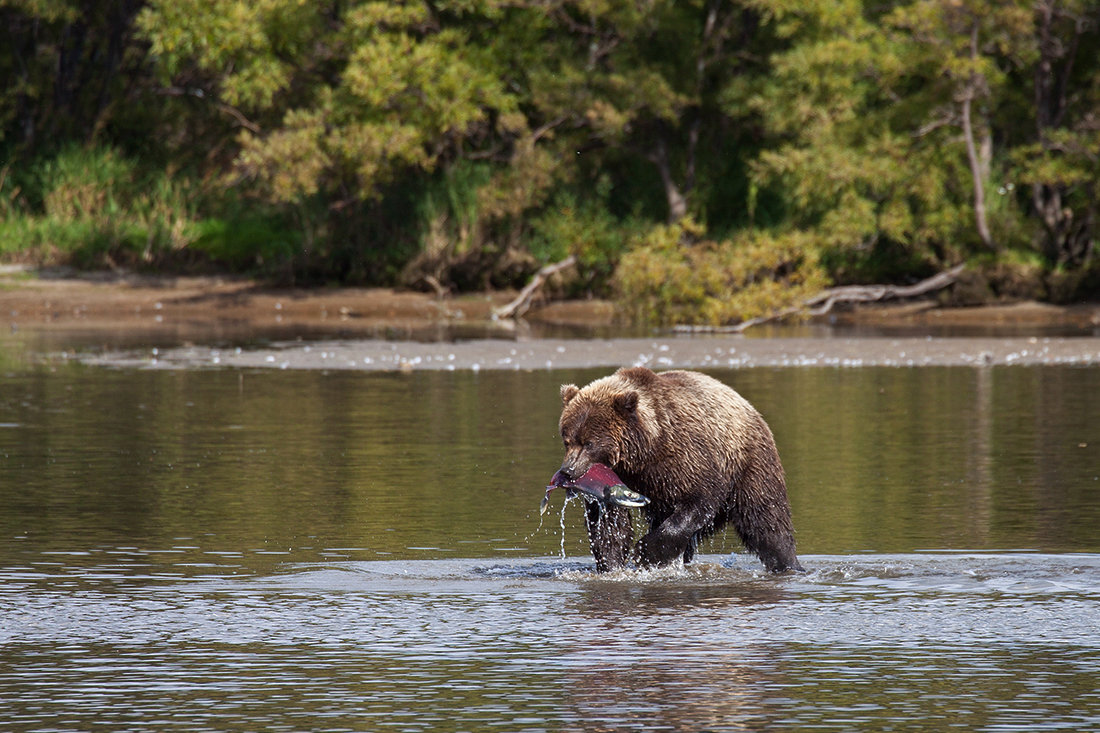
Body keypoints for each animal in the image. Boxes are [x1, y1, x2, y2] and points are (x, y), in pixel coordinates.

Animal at [558, 365, 800, 572]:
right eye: (567, 440)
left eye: (589, 443)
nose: (567, 471)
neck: (642, 454)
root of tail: (751, 409)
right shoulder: (614, 483)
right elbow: (610, 524)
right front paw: (611, 564)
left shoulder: (686, 457)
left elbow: (699, 500)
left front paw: (645, 552)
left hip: (748, 465)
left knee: (765, 520)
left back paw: (788, 564)